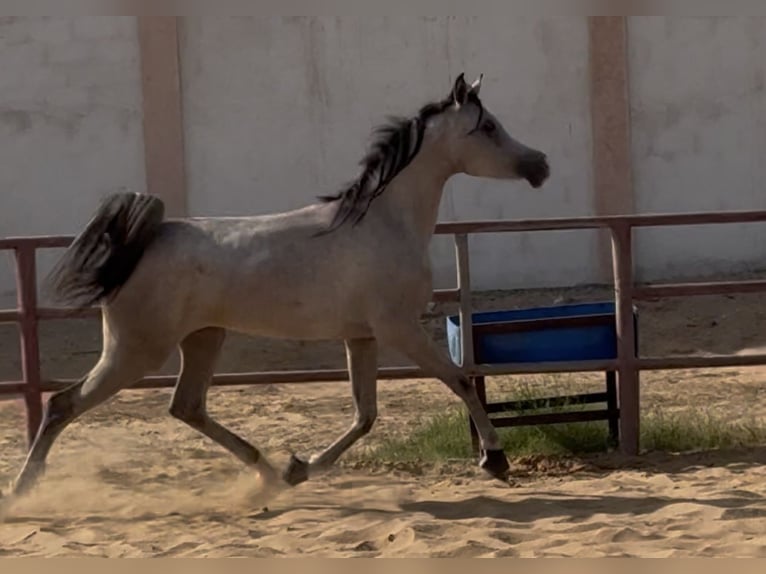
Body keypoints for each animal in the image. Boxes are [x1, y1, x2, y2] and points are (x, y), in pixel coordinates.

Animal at [4, 73, 549, 502]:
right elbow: (460, 380)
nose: (540, 165)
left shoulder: (362, 336)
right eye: (488, 126)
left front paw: (298, 468)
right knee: (63, 404)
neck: (382, 223)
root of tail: (143, 240)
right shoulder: (400, 328)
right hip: (135, 352)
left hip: (202, 338)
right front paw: (495, 462)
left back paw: (267, 473)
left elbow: (365, 415)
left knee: (186, 406)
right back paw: (22, 490)